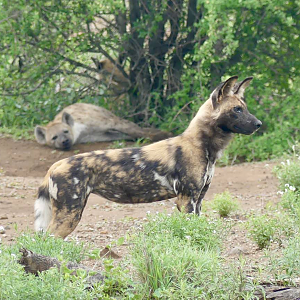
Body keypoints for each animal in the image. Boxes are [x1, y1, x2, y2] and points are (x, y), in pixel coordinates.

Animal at [34, 76, 262, 238]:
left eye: (245, 108)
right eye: (237, 109)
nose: (259, 124)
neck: (203, 146)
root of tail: (55, 165)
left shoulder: (198, 201)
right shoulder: (186, 200)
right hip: (69, 215)